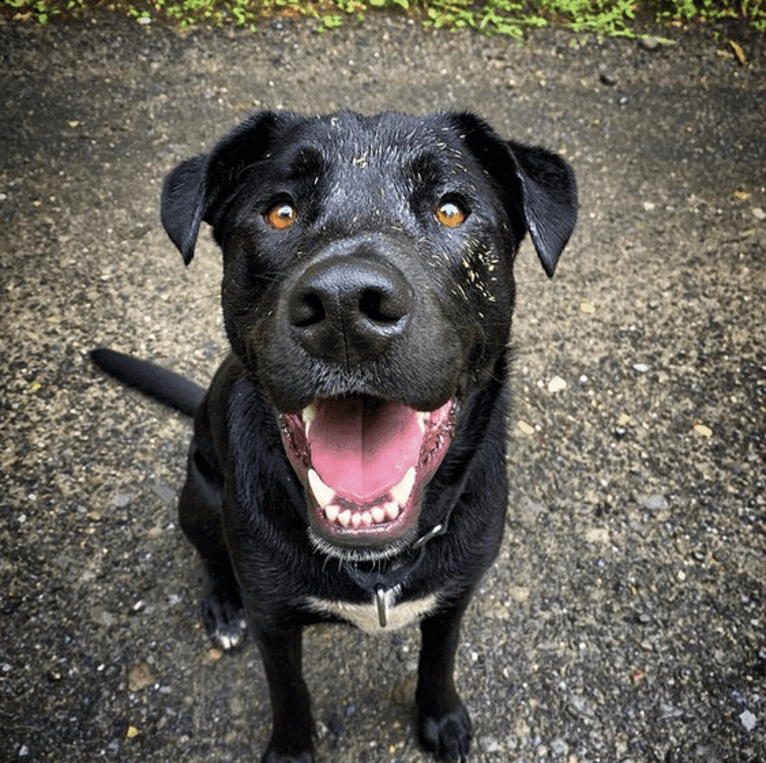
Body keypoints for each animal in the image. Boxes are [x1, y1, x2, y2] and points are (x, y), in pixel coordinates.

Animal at [93, 110, 576, 760]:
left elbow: (440, 656)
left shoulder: (457, 591)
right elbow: (289, 691)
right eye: (280, 211)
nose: (346, 304)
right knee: (210, 555)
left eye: (451, 209)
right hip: (199, 497)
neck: (378, 567)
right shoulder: (272, 618)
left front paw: (441, 716)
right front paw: (292, 749)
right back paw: (221, 606)